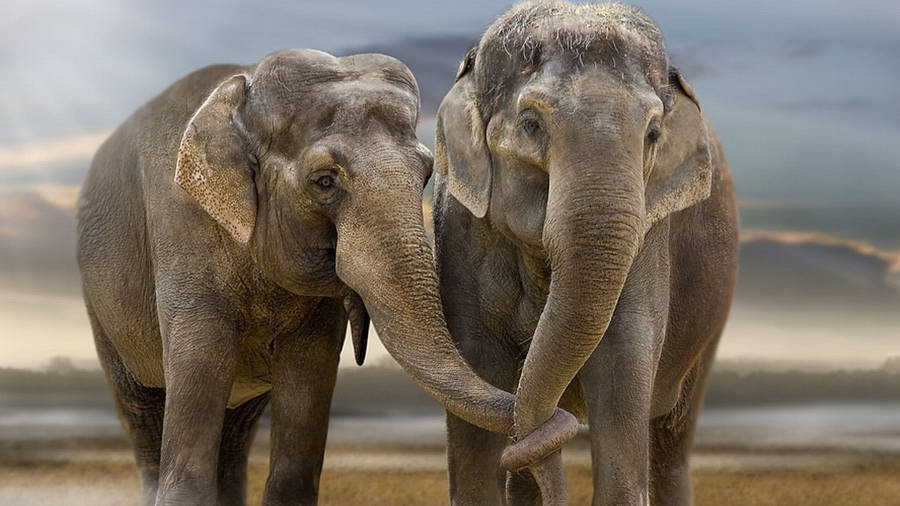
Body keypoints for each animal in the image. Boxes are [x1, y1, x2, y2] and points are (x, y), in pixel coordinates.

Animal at [76, 49, 574, 506]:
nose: (555, 425)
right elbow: (201, 356)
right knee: (142, 414)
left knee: (235, 434)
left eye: (427, 172)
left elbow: (308, 376)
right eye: (324, 181)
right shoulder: (181, 227)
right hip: (103, 312)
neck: (243, 92)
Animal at [432, 2, 739, 505]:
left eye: (653, 133)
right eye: (531, 124)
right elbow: (477, 371)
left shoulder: (648, 238)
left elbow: (621, 365)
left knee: (672, 440)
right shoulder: (460, 231)